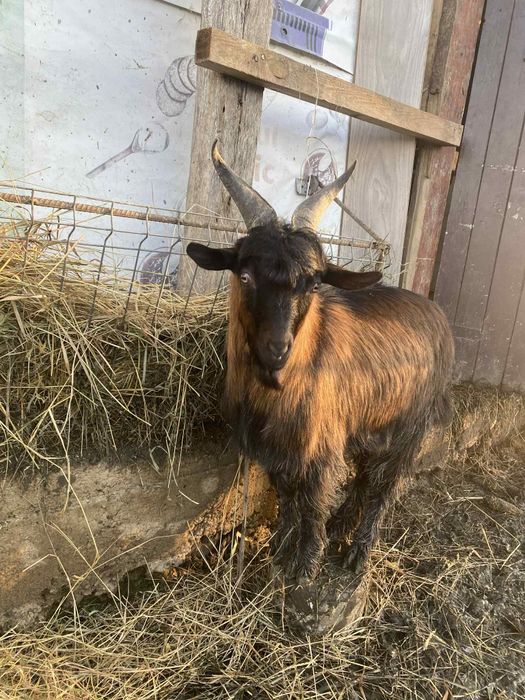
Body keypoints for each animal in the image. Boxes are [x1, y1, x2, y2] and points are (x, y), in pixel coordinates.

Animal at [187, 142, 454, 582]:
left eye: (313, 283)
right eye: (244, 276)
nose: (277, 349)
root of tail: (436, 312)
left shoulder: (321, 445)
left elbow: (311, 504)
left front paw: (304, 565)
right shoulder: (277, 448)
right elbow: (286, 496)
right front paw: (280, 548)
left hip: (410, 429)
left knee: (384, 487)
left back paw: (358, 551)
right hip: (372, 421)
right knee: (364, 478)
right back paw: (342, 524)